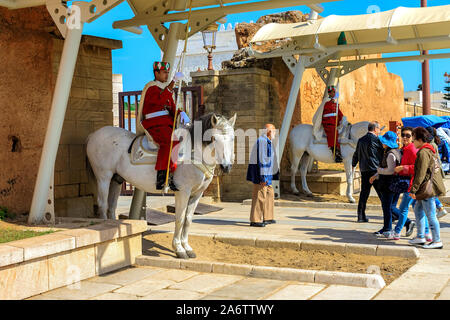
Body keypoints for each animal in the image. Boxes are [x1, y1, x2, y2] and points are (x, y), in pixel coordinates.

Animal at [85, 112, 237, 258]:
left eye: (232, 138)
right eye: (214, 139)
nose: (226, 167)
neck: (194, 154)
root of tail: (94, 134)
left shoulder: (197, 194)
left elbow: (188, 219)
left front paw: (187, 247)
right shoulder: (183, 192)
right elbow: (180, 218)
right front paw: (179, 249)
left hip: (116, 180)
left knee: (111, 206)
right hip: (103, 177)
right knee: (103, 204)